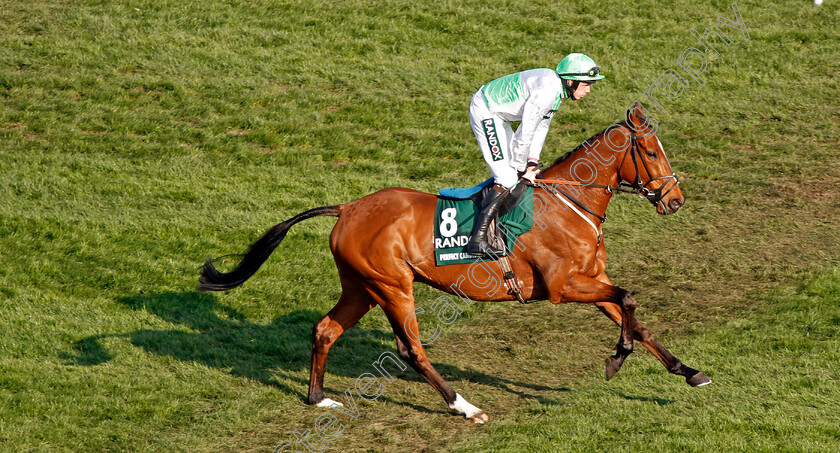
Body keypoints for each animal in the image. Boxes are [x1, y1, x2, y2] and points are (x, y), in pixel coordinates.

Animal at [197, 102, 708, 424]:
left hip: (361, 287)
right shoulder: (564, 287)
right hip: (392, 286)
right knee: (411, 350)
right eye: (651, 151)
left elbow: (634, 317)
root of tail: (348, 207)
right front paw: (617, 358)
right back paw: (465, 406)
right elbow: (629, 300)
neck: (570, 202)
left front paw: (687, 372)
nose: (676, 200)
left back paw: (318, 397)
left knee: (325, 330)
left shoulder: (592, 278)